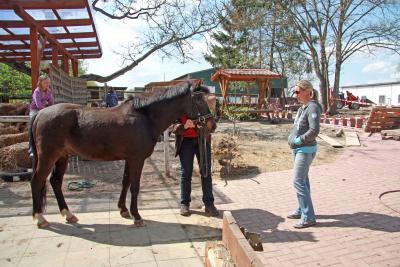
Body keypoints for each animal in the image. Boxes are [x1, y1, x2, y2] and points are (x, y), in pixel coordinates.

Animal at [29, 81, 216, 228]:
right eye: (198, 99)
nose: (212, 125)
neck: (145, 117)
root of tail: (40, 114)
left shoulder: (129, 159)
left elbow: (125, 182)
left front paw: (124, 210)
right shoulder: (137, 159)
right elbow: (134, 186)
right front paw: (137, 216)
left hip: (62, 157)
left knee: (55, 182)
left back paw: (68, 214)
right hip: (48, 157)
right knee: (37, 181)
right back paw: (40, 218)